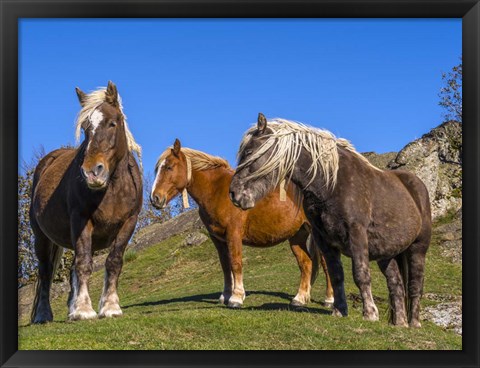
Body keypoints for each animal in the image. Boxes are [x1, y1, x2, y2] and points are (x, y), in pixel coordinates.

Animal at [29, 82, 142, 324]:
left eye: (112, 123)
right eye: (85, 128)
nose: (92, 172)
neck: (113, 188)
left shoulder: (129, 222)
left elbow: (114, 261)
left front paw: (110, 307)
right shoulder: (82, 220)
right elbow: (84, 263)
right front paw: (83, 310)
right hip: (41, 237)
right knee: (45, 272)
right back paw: (43, 315)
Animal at [151, 139, 334, 310]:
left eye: (169, 167)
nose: (155, 199)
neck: (218, 191)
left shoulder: (234, 234)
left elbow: (236, 263)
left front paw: (236, 298)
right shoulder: (218, 239)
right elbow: (225, 266)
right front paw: (225, 295)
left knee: (326, 265)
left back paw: (329, 300)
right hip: (297, 236)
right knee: (306, 264)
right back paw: (299, 299)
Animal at [229, 113, 432, 326]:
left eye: (249, 151)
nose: (234, 194)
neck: (330, 184)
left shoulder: (357, 233)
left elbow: (361, 274)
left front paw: (370, 313)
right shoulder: (324, 239)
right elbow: (336, 275)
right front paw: (339, 310)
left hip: (418, 248)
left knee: (415, 285)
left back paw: (414, 324)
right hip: (387, 254)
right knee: (396, 285)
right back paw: (400, 324)